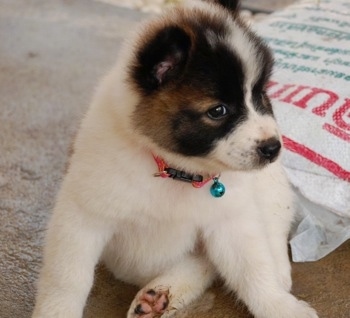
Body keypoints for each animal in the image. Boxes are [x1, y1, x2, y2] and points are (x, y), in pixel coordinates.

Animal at [31, 0, 318, 318]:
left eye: (261, 95)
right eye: (218, 111)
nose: (273, 147)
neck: (175, 170)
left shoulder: (232, 222)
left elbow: (253, 270)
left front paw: (278, 304)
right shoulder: (82, 218)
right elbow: (67, 278)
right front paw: (56, 311)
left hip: (269, 192)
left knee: (270, 234)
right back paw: (158, 296)